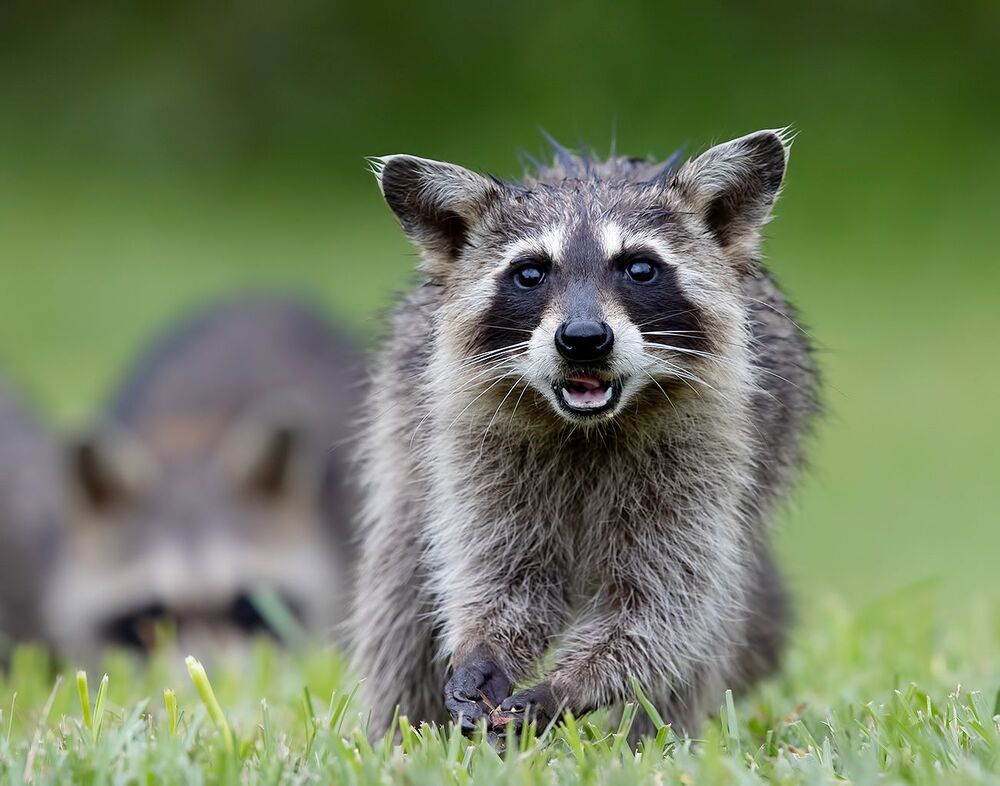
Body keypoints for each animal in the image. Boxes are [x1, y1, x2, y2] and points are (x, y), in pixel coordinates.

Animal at [352, 129, 819, 738]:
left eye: (640, 269)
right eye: (530, 273)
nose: (583, 338)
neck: (586, 429)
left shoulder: (710, 449)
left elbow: (665, 604)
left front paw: (570, 687)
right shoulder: (474, 442)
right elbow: (501, 573)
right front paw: (482, 649)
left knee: (714, 615)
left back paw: (659, 740)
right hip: (404, 444)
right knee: (401, 583)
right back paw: (398, 731)